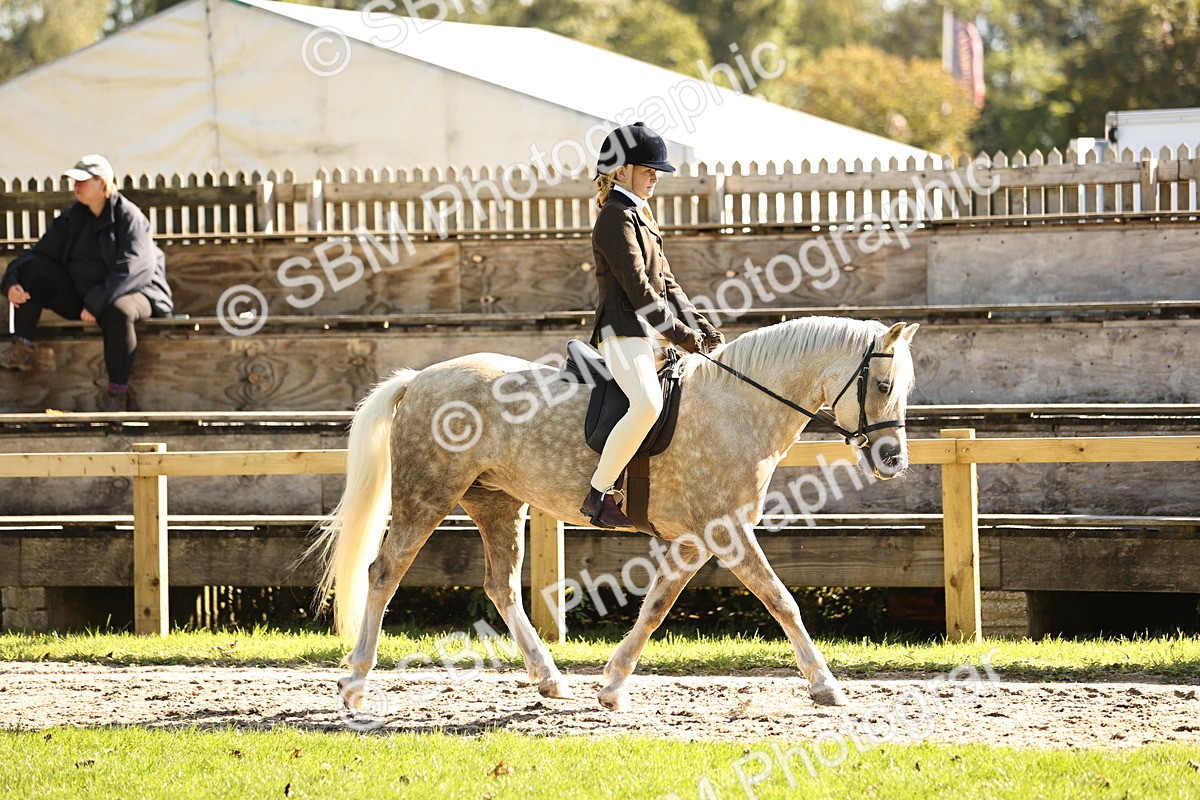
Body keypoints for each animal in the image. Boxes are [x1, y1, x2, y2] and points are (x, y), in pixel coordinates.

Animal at [310, 315, 919, 711]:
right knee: (384, 573)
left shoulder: (695, 539)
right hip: (426, 494)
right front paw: (826, 685)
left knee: (501, 585)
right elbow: (781, 600)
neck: (739, 404)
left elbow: (655, 607)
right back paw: (355, 685)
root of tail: (419, 378)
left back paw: (550, 680)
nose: (894, 461)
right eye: (883, 383)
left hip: (496, 502)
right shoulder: (727, 531)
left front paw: (612, 684)